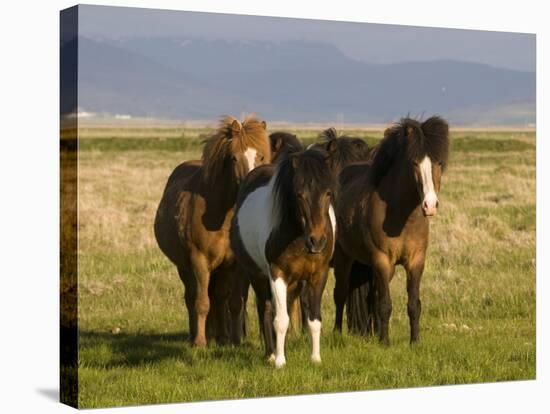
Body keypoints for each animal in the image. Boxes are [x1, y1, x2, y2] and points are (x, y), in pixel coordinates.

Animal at [155, 115, 272, 348]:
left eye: (262, 155)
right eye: (234, 158)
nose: (250, 184)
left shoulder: (234, 265)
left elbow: (232, 302)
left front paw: (233, 340)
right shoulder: (198, 261)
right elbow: (201, 302)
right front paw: (200, 343)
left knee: (218, 297)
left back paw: (220, 336)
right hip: (185, 267)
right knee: (191, 297)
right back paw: (197, 335)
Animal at [232, 150, 338, 368]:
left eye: (328, 193)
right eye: (299, 194)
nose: (317, 241)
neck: (298, 237)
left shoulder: (318, 275)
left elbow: (314, 319)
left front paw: (315, 358)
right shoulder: (277, 273)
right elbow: (280, 320)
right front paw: (280, 361)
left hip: (295, 283)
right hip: (257, 275)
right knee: (266, 309)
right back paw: (271, 353)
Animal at [334, 115, 450, 344]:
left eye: (439, 163)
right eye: (414, 163)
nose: (430, 205)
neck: (402, 219)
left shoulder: (416, 261)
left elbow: (413, 304)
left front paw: (415, 342)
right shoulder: (382, 260)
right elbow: (385, 304)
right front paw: (385, 343)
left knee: (371, 296)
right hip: (344, 257)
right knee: (340, 294)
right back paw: (337, 333)